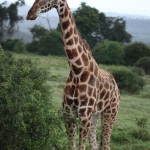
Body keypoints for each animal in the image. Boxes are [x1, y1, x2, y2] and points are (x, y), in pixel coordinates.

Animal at [26, 0, 120, 149]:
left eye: (48, 0)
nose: (30, 14)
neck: (77, 70)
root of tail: (116, 85)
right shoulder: (68, 114)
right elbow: (72, 146)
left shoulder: (84, 115)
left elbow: (81, 146)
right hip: (95, 116)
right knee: (95, 145)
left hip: (110, 113)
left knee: (106, 144)